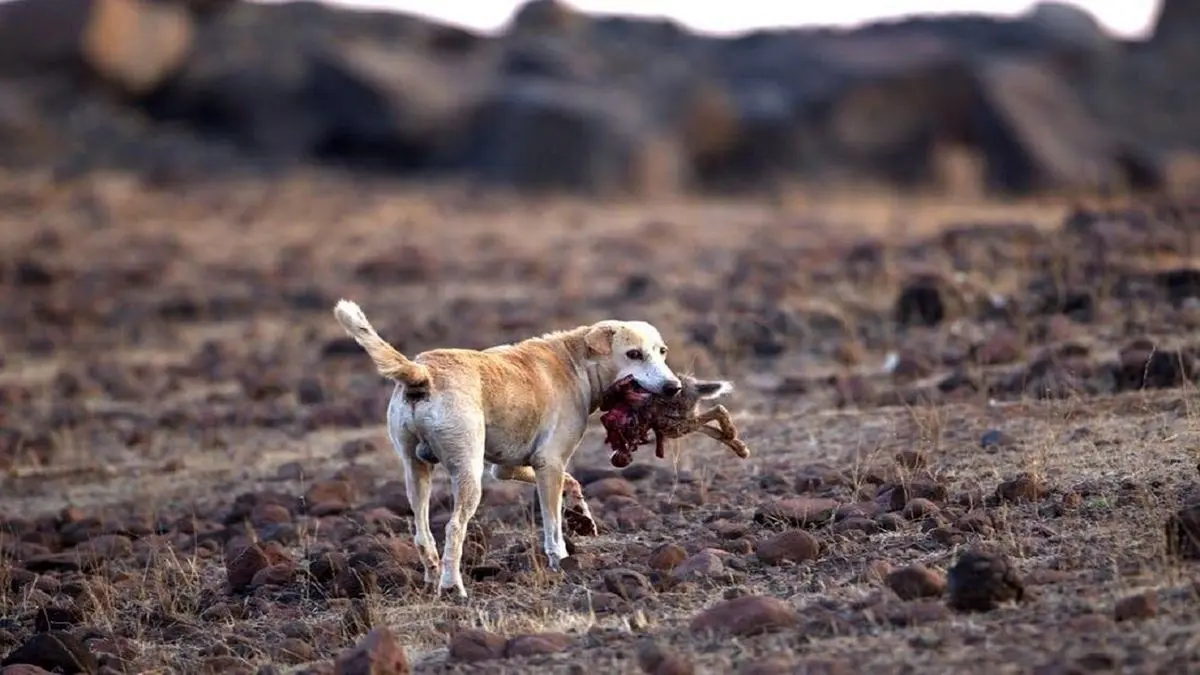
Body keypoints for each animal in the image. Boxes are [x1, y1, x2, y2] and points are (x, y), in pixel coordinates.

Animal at [331, 299, 686, 593]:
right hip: (468, 474)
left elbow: (572, 482)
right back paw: (452, 586)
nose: (674, 387)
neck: (576, 362)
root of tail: (423, 371)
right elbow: (552, 527)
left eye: (662, 351)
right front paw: (561, 560)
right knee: (454, 528)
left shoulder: (508, 467)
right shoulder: (549, 463)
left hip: (415, 472)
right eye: (634, 354)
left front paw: (581, 516)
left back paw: (432, 578)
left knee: (422, 533)